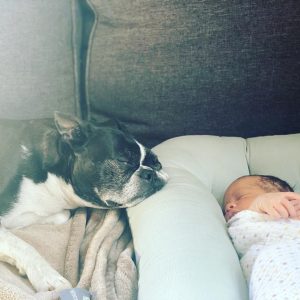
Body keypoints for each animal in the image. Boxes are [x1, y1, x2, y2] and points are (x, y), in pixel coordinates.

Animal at [0, 112, 168, 290]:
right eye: (123, 160)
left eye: (157, 163)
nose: (150, 172)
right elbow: (21, 245)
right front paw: (48, 276)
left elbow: (61, 215)